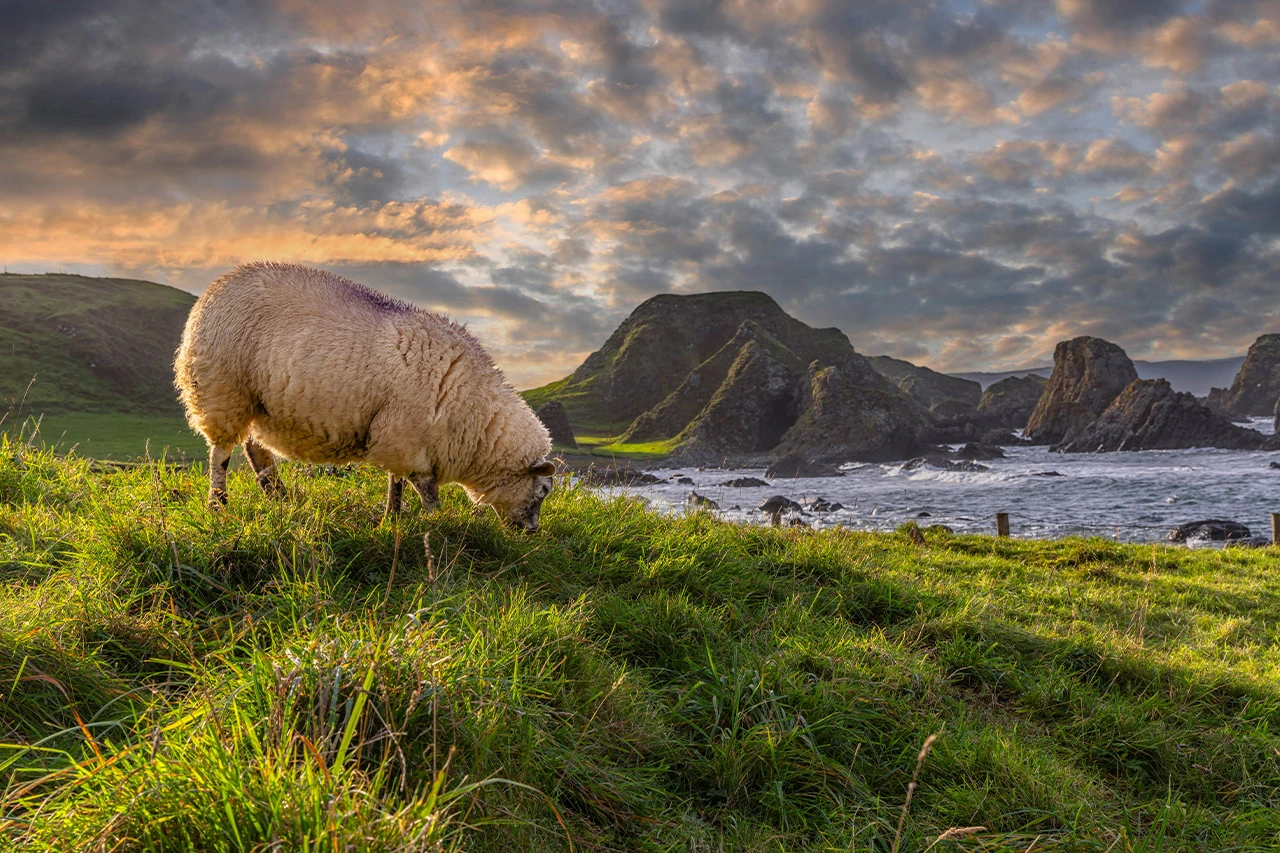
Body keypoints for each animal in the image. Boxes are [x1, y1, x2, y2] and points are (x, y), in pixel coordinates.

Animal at [172, 261, 552, 525]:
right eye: (543, 491)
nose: (532, 531)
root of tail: (215, 287)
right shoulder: (407, 439)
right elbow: (425, 488)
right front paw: (435, 518)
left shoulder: (398, 438)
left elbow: (397, 482)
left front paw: (392, 517)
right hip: (222, 390)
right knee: (220, 454)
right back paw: (218, 504)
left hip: (256, 400)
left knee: (256, 450)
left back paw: (278, 495)